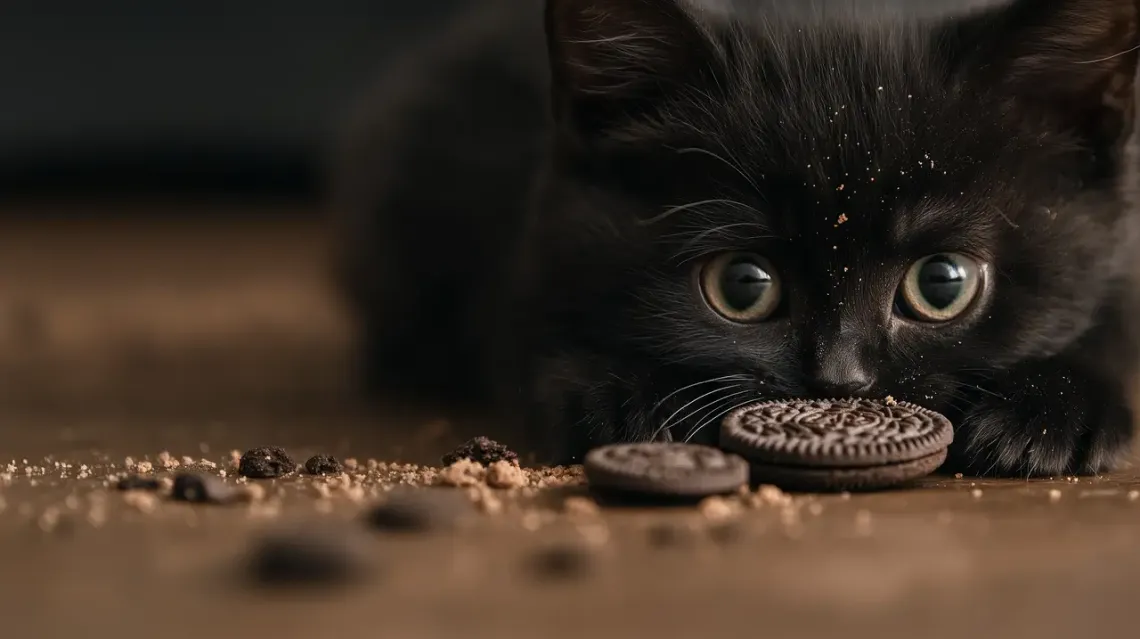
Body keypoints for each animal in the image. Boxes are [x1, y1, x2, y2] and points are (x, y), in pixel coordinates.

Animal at [332, 0, 1140, 473]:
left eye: (942, 283)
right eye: (742, 285)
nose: (840, 383)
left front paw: (1050, 411)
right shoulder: (531, 257)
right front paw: (635, 401)